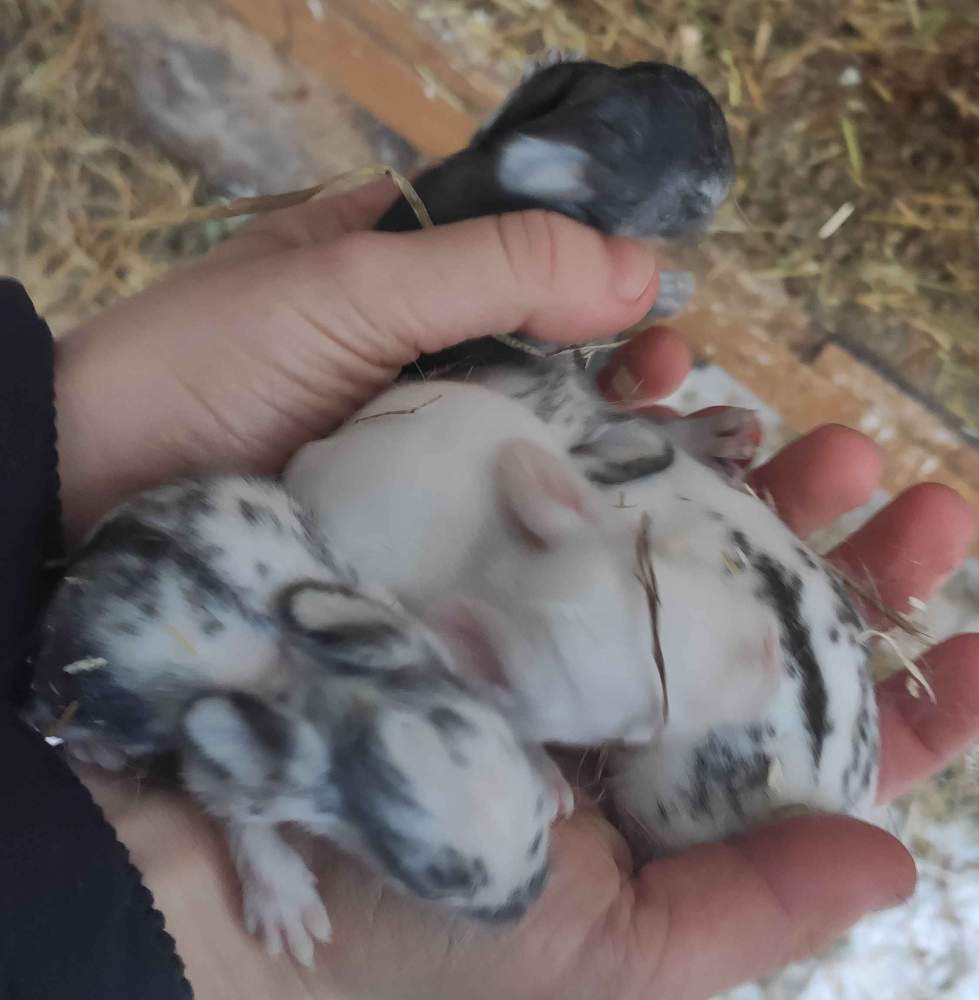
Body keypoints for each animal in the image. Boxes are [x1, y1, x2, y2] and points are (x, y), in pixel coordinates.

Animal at [25, 476, 571, 966]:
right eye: (430, 880)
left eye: (537, 828)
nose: (526, 903)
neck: (313, 676)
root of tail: (85, 552)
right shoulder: (226, 772)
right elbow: (245, 821)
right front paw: (287, 912)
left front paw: (554, 782)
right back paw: (98, 749)